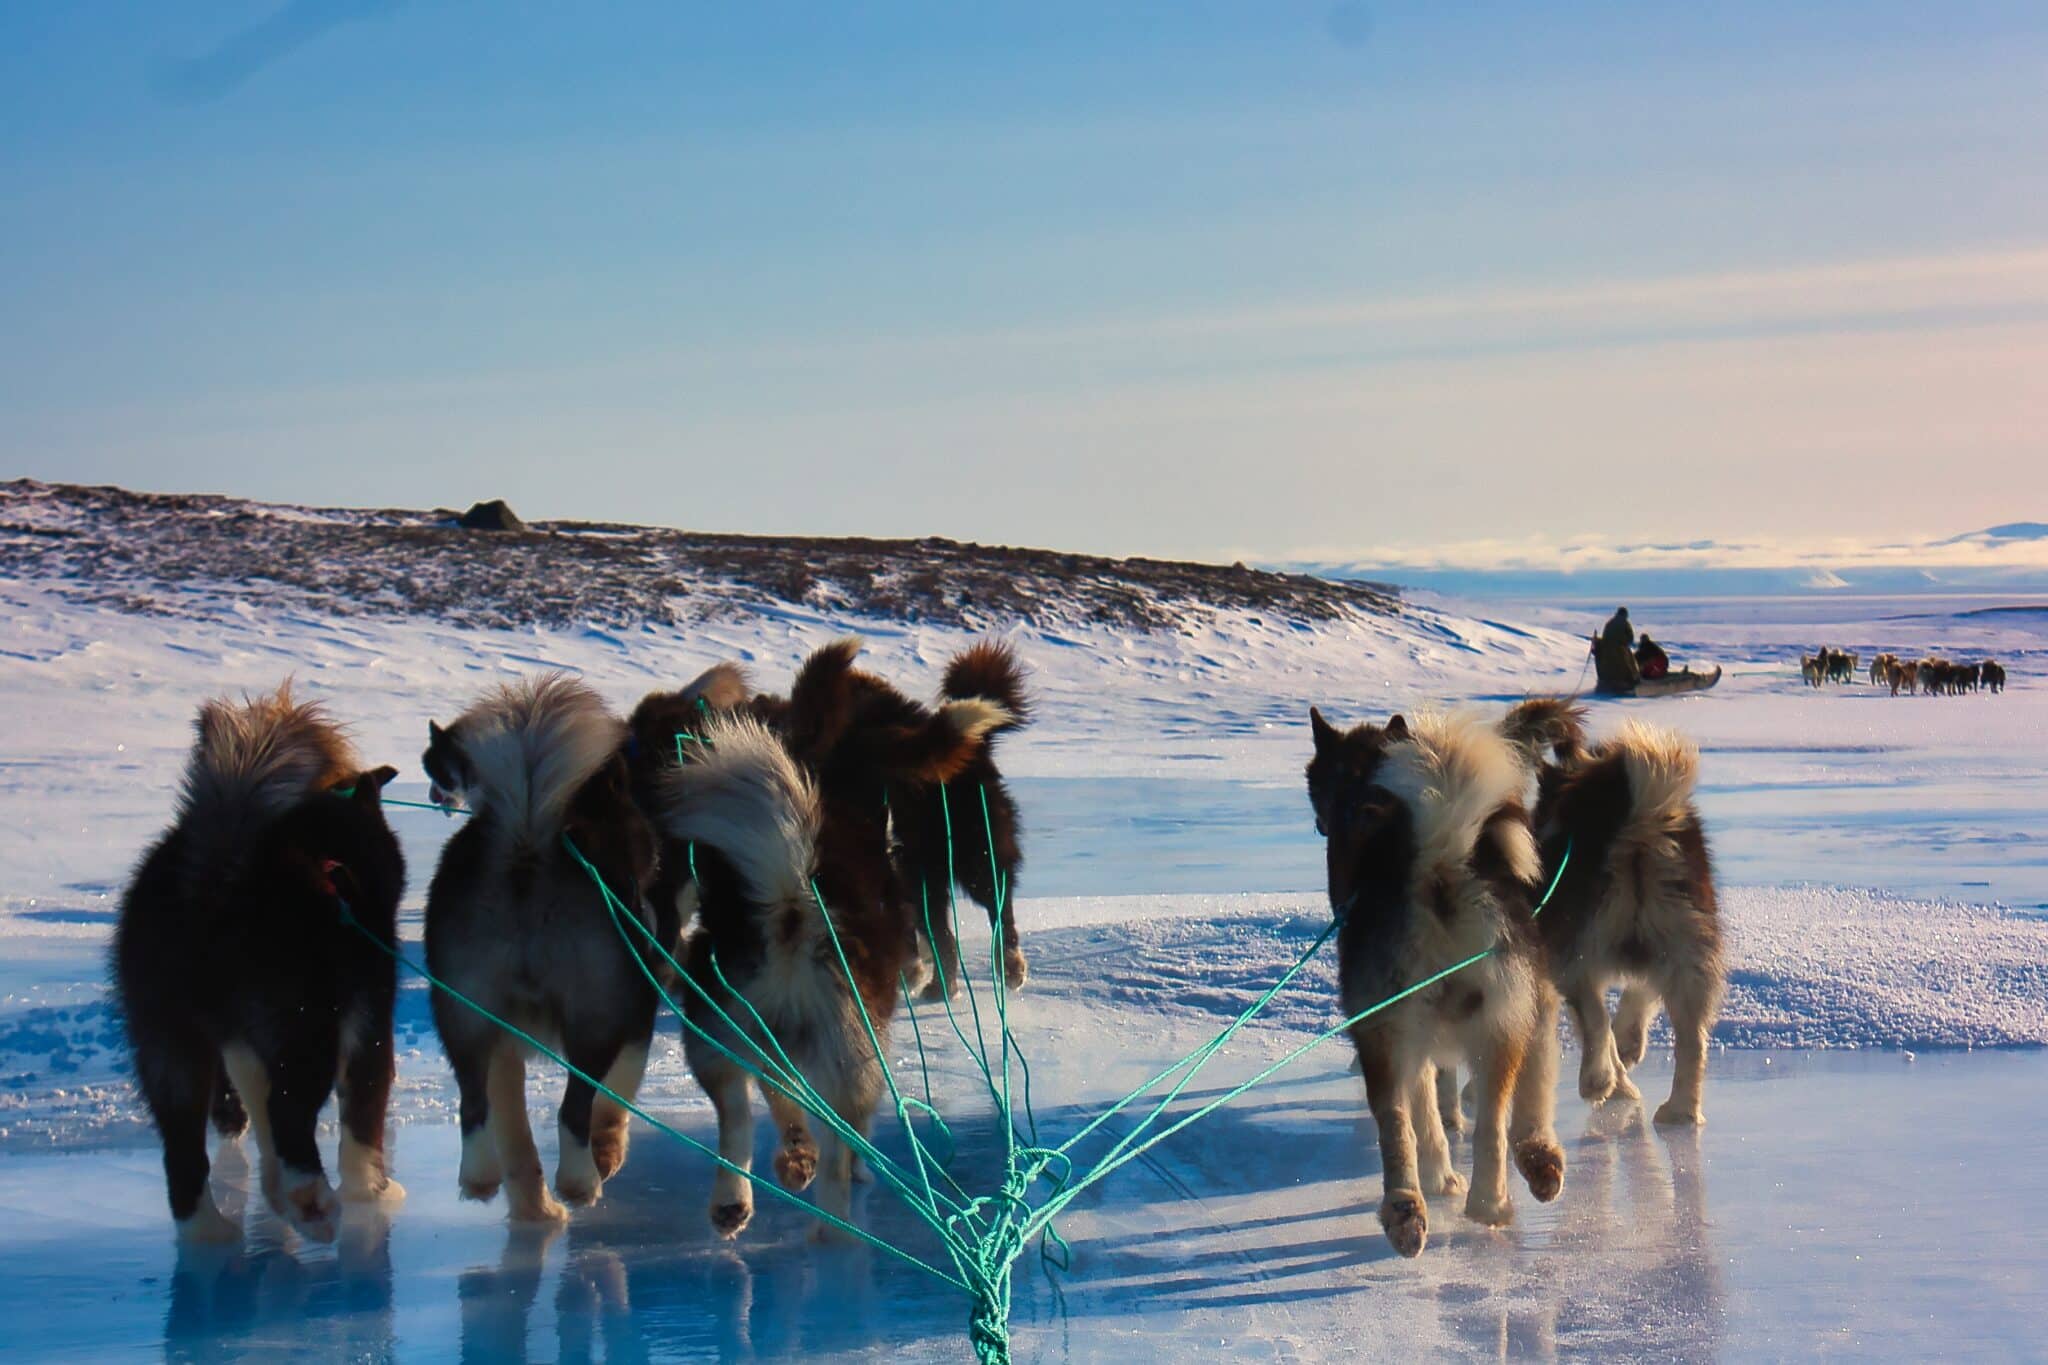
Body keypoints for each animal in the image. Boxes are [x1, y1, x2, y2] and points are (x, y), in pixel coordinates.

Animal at [114, 687, 405, 1244]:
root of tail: (217, 871)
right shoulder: (368, 1027)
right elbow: (360, 1122)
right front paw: (371, 1192)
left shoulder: (242, 1045)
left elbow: (259, 1111)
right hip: (306, 1031)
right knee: (292, 1118)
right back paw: (314, 1204)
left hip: (170, 1044)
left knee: (184, 1154)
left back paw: (208, 1233)